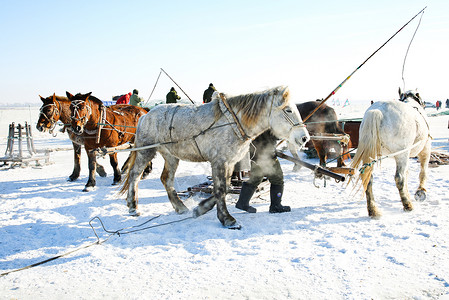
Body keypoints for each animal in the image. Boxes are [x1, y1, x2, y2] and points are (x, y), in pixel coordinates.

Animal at [120, 86, 308, 227]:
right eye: (288, 110)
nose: (304, 138)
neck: (233, 122)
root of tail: (144, 115)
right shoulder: (219, 161)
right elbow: (221, 189)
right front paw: (227, 219)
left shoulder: (230, 162)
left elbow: (225, 187)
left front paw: (201, 208)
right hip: (146, 151)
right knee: (135, 175)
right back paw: (133, 207)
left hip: (171, 156)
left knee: (166, 179)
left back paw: (180, 207)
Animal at [350, 89, 430, 218]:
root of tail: (377, 110)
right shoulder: (425, 148)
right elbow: (423, 171)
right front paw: (421, 191)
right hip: (402, 154)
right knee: (399, 178)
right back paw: (407, 205)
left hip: (372, 154)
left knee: (368, 177)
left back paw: (373, 210)